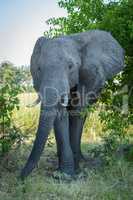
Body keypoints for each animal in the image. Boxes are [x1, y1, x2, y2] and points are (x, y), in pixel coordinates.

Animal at [20, 28, 124, 179]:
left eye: (70, 67)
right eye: (39, 68)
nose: (19, 178)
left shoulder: (89, 75)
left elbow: (77, 111)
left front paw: (72, 172)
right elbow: (61, 114)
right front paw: (65, 174)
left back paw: (80, 159)